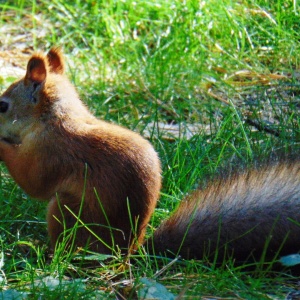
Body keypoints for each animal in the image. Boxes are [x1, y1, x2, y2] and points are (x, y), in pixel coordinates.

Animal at [0, 48, 298, 262]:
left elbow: (33, 182)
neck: (54, 118)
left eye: (3, 105)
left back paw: (46, 253)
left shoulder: (51, 154)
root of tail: (130, 250)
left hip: (67, 212)